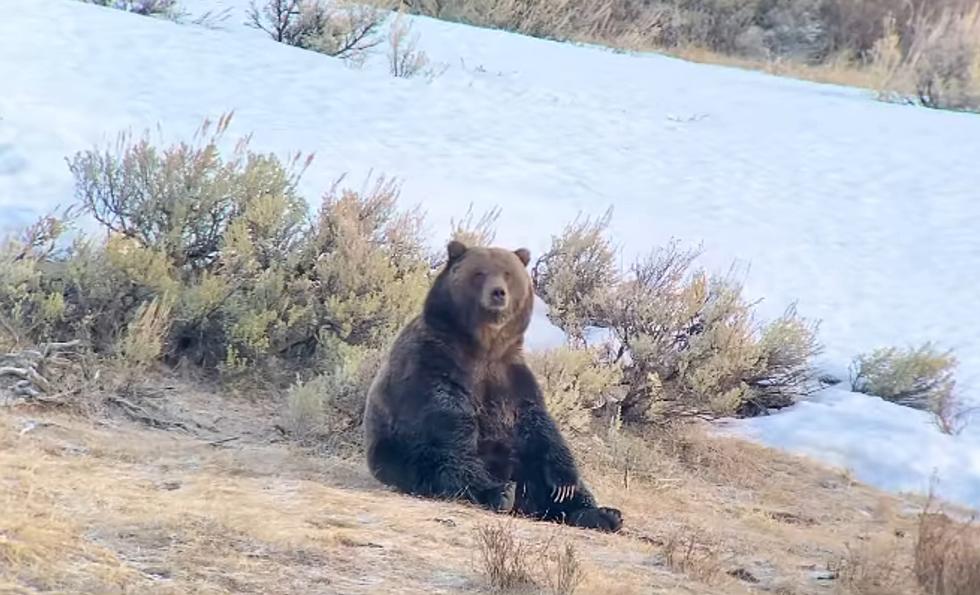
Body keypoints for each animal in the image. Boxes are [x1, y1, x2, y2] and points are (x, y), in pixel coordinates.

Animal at [364, 240, 624, 532]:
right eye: (479, 273)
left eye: (508, 274)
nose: (498, 293)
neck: (483, 348)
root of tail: (526, 504)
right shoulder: (434, 362)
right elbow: (450, 422)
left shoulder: (510, 375)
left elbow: (538, 422)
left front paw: (565, 482)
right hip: (397, 453)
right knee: (441, 467)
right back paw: (500, 493)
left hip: (522, 465)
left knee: (548, 477)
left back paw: (601, 513)